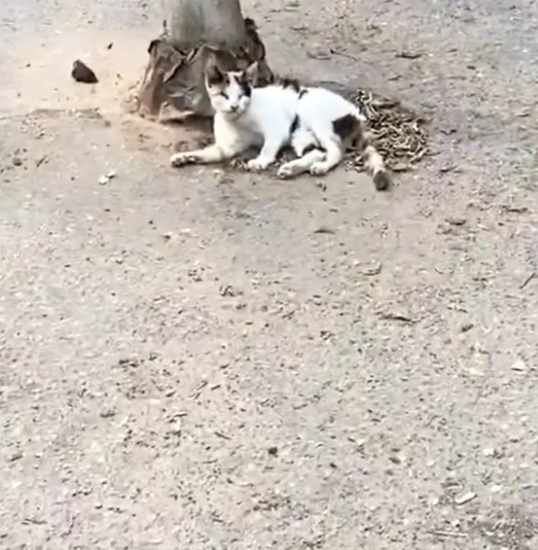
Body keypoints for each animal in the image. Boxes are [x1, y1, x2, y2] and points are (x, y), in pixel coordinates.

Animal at [170, 60, 391, 191]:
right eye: (224, 95)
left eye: (241, 96)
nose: (234, 106)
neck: (238, 120)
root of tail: (356, 112)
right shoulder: (226, 147)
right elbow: (206, 153)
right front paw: (185, 157)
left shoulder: (278, 130)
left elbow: (268, 146)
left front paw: (260, 161)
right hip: (301, 135)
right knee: (317, 151)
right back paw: (291, 168)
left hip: (312, 115)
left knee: (334, 152)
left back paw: (319, 167)